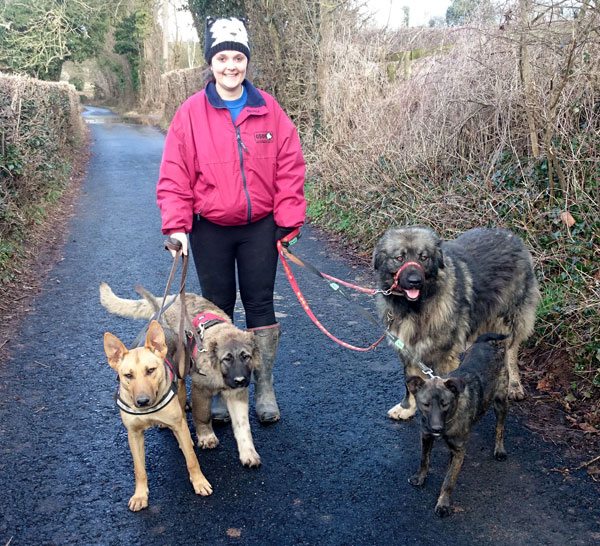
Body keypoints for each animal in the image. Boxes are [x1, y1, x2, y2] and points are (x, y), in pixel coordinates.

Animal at [103, 320, 213, 508]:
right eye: (128, 375)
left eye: (150, 370)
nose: (142, 401)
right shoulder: (134, 434)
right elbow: (139, 469)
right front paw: (140, 495)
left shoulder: (177, 423)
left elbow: (192, 460)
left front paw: (199, 482)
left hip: (181, 386)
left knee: (183, 416)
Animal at [372, 223, 540, 418]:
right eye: (399, 258)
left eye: (424, 257)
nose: (415, 281)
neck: (416, 307)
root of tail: (512, 235)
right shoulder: (408, 350)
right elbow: (410, 383)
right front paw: (407, 408)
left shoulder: (444, 356)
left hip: (510, 319)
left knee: (511, 353)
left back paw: (514, 385)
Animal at [406, 332, 508, 516]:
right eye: (426, 404)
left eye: (445, 404)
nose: (436, 428)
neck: (448, 420)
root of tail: (486, 343)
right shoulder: (426, 436)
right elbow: (424, 459)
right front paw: (420, 477)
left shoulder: (459, 448)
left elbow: (448, 481)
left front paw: (443, 503)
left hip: (501, 402)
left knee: (500, 428)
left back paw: (499, 449)